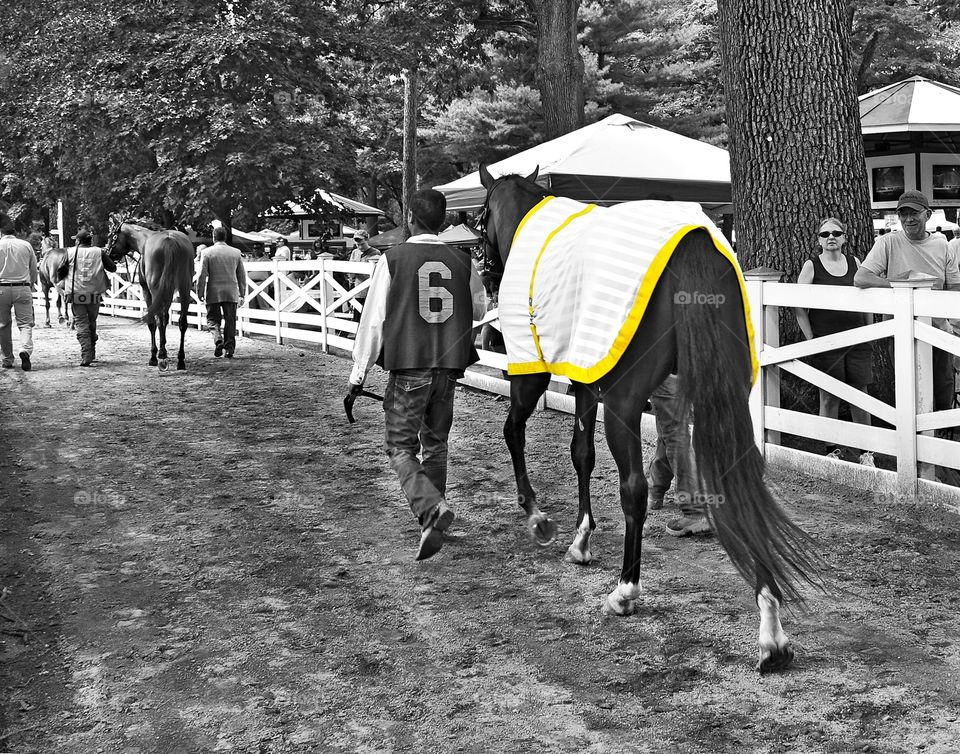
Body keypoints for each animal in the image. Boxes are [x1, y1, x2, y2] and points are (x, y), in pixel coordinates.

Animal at [106, 217, 195, 370]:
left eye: (112, 236)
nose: (107, 253)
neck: (145, 240)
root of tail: (170, 241)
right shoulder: (168, 292)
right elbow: (165, 318)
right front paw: (163, 346)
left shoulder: (147, 291)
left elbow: (153, 322)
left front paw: (155, 355)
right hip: (185, 289)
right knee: (182, 322)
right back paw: (180, 359)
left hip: (156, 289)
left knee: (158, 319)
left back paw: (161, 356)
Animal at [480, 169, 816, 668]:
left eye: (480, 216)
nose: (486, 274)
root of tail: (693, 243)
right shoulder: (586, 377)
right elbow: (581, 454)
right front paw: (581, 538)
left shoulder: (534, 371)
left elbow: (515, 432)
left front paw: (539, 517)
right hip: (730, 392)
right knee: (742, 483)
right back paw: (771, 628)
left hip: (624, 400)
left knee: (634, 488)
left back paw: (626, 590)